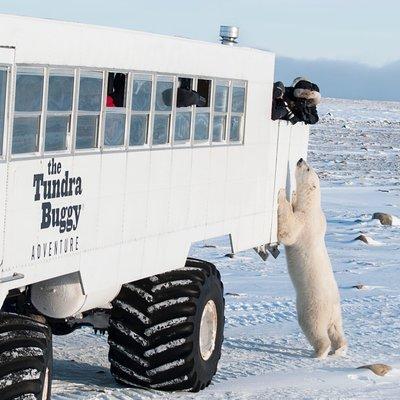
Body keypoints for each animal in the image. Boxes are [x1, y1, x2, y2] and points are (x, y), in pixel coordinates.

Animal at [278, 159, 346, 360]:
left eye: (307, 168)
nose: (300, 159)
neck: (312, 205)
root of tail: (331, 309)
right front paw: (292, 195)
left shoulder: (306, 222)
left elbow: (289, 230)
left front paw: (282, 196)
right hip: (337, 312)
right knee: (337, 330)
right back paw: (339, 349)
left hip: (312, 307)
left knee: (314, 329)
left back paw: (319, 352)